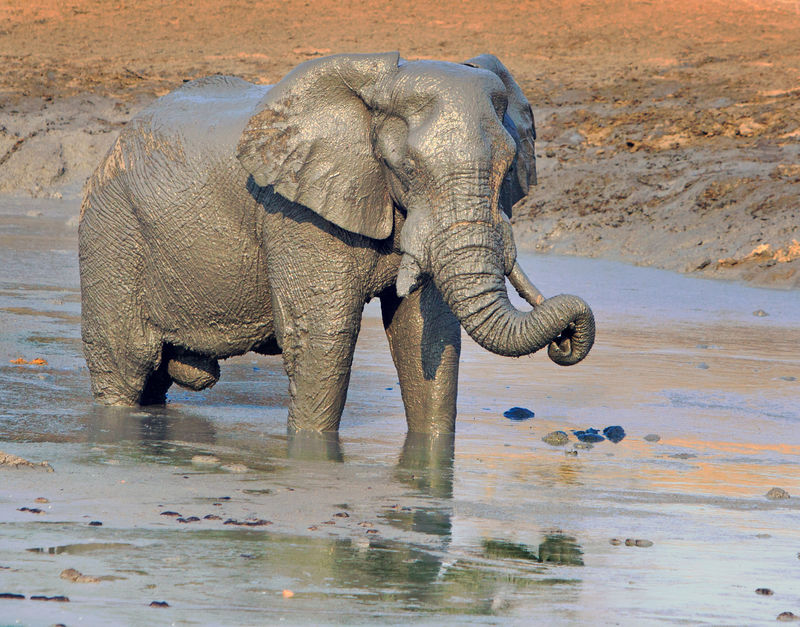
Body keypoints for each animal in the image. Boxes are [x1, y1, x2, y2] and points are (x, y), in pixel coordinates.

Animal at [79, 51, 592, 434]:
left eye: (508, 167)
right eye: (408, 168)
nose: (565, 339)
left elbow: (425, 334)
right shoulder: (297, 213)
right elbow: (322, 336)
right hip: (112, 232)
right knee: (126, 365)